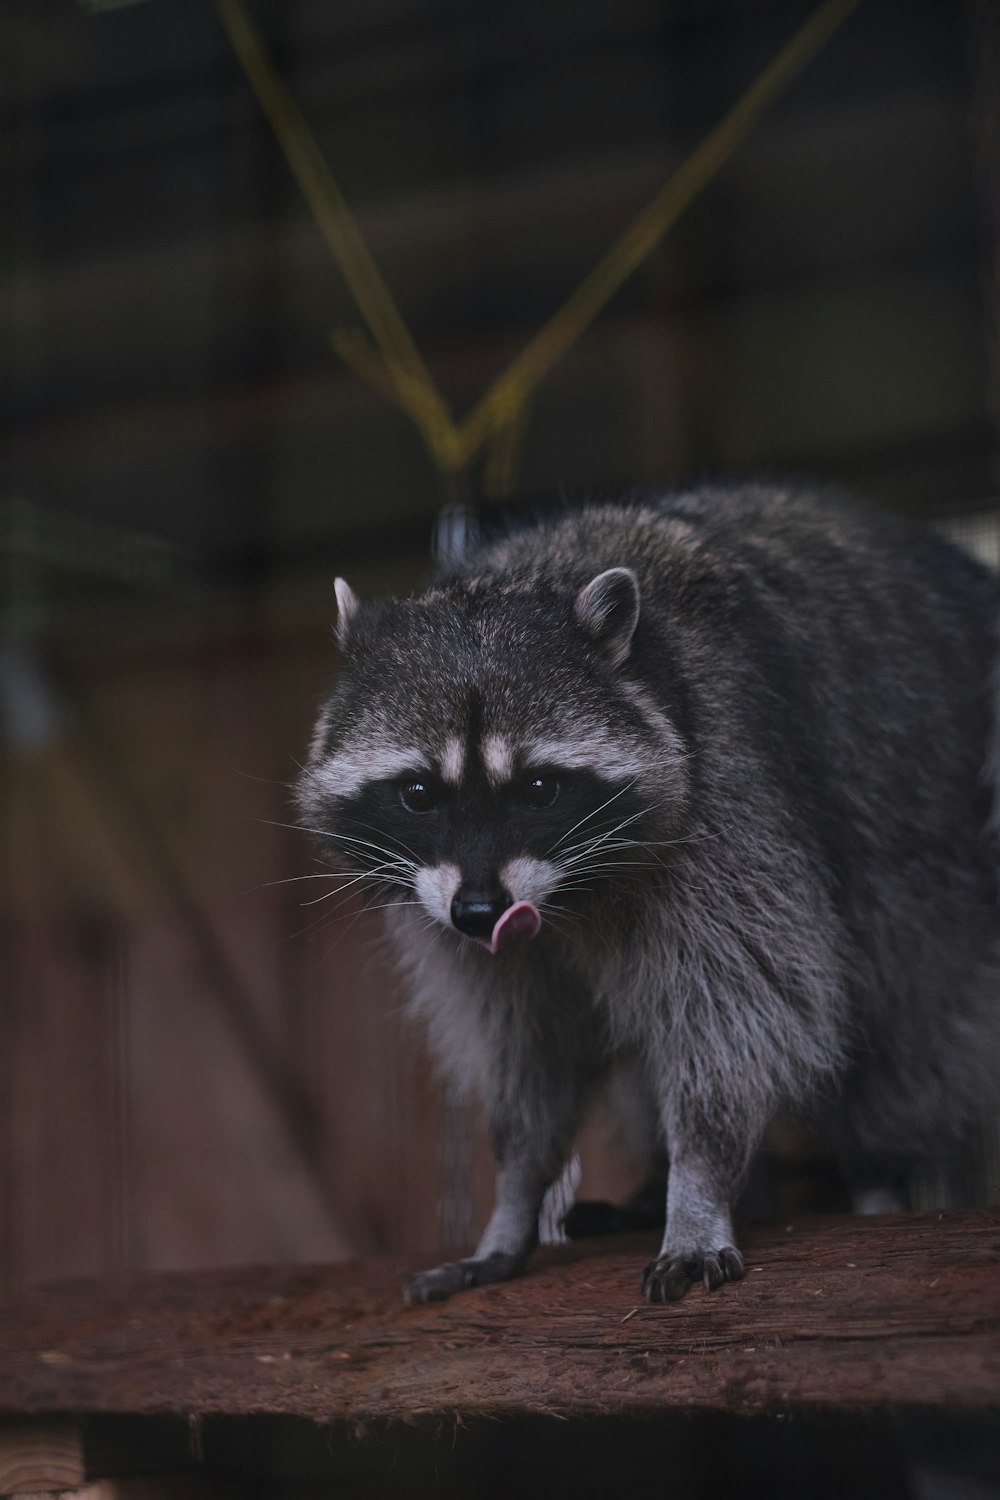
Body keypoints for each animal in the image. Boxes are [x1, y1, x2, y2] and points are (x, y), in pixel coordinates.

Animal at [295, 480, 1000, 1302]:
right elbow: (526, 1052)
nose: (480, 913)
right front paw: (515, 1197)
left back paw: (873, 1169)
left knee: (906, 1022)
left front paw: (698, 1185)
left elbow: (740, 1014)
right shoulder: (460, 924)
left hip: (940, 882)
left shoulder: (733, 804)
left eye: (539, 789)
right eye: (417, 794)